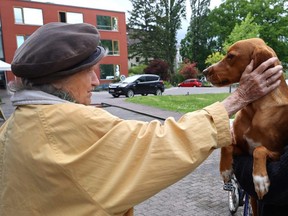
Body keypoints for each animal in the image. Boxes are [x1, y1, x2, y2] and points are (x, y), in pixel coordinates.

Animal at [202, 37, 288, 211]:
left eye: (231, 56)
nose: (204, 71)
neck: (255, 108)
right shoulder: (241, 149)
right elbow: (227, 146)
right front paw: (225, 169)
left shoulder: (277, 152)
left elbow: (259, 150)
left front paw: (260, 179)